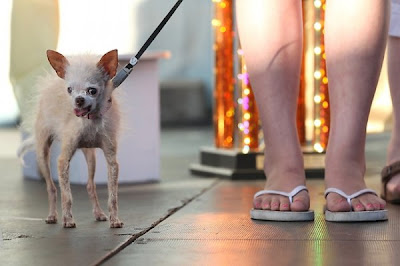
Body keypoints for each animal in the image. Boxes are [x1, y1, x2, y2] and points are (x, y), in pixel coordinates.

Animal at [18, 50, 123, 229]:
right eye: (69, 90)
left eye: (92, 91)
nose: (78, 100)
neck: (90, 120)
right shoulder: (63, 160)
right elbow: (66, 195)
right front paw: (67, 219)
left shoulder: (111, 160)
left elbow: (113, 196)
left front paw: (114, 219)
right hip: (42, 154)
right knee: (51, 188)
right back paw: (52, 215)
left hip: (90, 156)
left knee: (90, 185)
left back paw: (98, 213)